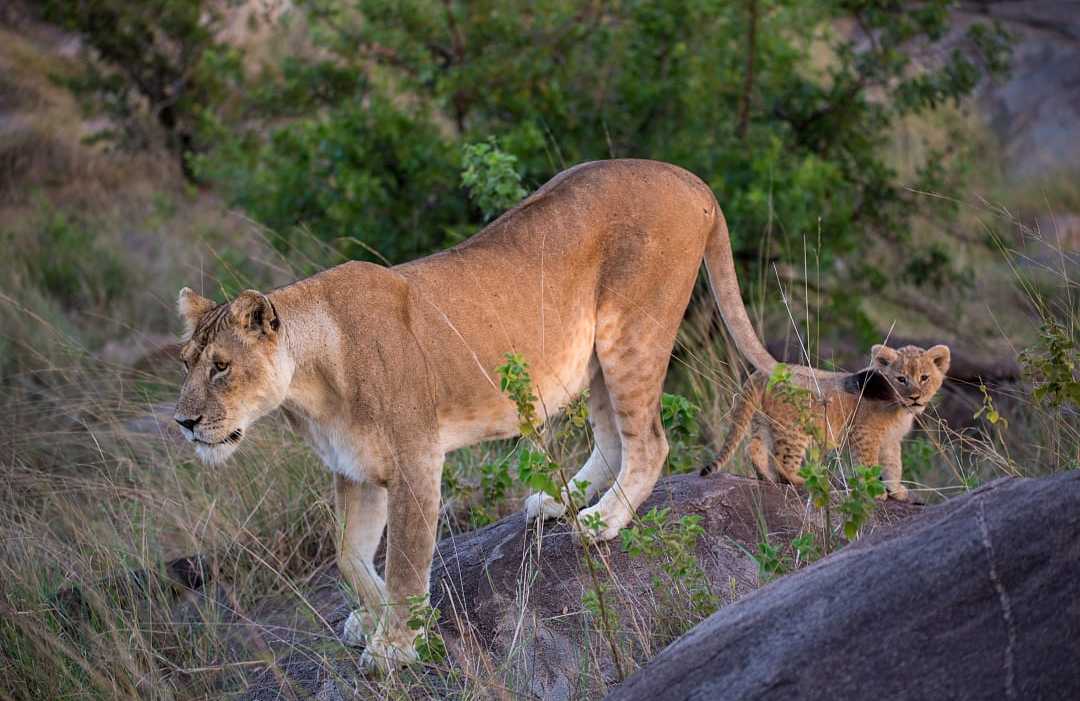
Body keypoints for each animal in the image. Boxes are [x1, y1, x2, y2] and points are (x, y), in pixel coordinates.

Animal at [172, 159, 847, 672]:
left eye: (222, 367)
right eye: (186, 361)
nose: (182, 423)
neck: (311, 383)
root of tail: (692, 179)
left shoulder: (417, 462)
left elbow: (407, 562)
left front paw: (397, 645)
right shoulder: (353, 471)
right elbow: (349, 556)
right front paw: (371, 618)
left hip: (633, 331)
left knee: (650, 440)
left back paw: (601, 522)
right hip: (594, 351)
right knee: (612, 435)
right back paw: (560, 502)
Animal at [701, 344, 951, 501]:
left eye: (924, 377)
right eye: (901, 379)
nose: (915, 397)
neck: (899, 408)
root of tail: (761, 373)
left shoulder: (890, 440)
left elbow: (894, 465)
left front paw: (896, 491)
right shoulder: (864, 433)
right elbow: (868, 463)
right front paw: (875, 491)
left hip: (764, 421)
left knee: (753, 447)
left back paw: (766, 479)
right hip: (795, 428)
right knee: (782, 460)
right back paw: (801, 480)